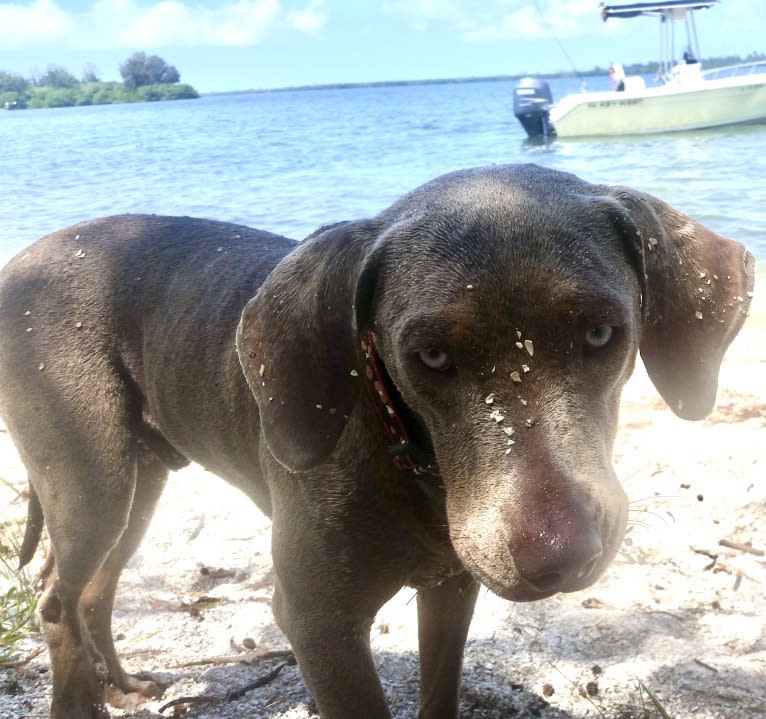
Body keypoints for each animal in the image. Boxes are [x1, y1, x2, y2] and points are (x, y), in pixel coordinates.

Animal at [0, 165, 756, 719]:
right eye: (430, 356)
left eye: (602, 334)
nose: (559, 558)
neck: (410, 461)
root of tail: (20, 260)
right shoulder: (319, 626)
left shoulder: (451, 588)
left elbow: (439, 693)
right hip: (93, 480)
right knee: (57, 598)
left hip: (139, 481)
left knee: (91, 590)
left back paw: (119, 684)